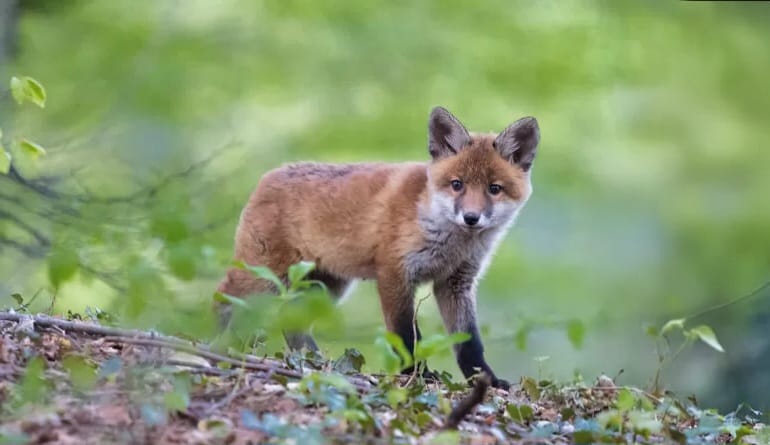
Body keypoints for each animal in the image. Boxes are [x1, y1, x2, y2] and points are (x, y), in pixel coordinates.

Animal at [216, 106, 540, 389]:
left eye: (494, 189)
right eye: (457, 184)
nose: (471, 218)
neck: (450, 242)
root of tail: (269, 176)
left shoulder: (456, 283)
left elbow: (469, 344)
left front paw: (485, 380)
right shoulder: (394, 273)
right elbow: (405, 336)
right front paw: (416, 375)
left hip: (325, 288)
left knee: (292, 323)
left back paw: (316, 364)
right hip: (264, 278)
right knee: (223, 299)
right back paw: (220, 347)